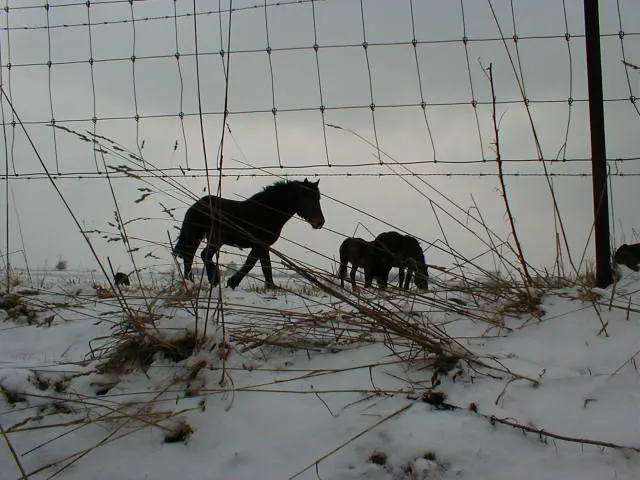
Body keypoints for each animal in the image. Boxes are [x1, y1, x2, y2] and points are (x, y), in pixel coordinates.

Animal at [173, 179, 325, 289]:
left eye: (318, 198)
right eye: (307, 199)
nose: (320, 222)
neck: (267, 212)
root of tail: (195, 206)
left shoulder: (264, 246)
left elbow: (266, 266)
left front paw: (271, 287)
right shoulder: (259, 244)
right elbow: (250, 264)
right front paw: (232, 282)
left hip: (206, 239)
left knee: (193, 256)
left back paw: (195, 281)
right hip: (209, 238)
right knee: (199, 255)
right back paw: (211, 280)